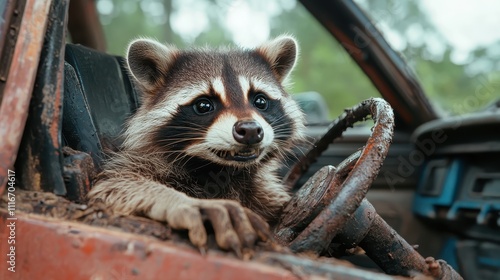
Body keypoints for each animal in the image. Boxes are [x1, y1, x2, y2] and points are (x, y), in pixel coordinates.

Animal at [88, 35, 306, 252]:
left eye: (260, 101)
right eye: (204, 105)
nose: (250, 130)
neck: (222, 170)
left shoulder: (261, 189)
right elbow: (115, 185)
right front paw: (181, 201)